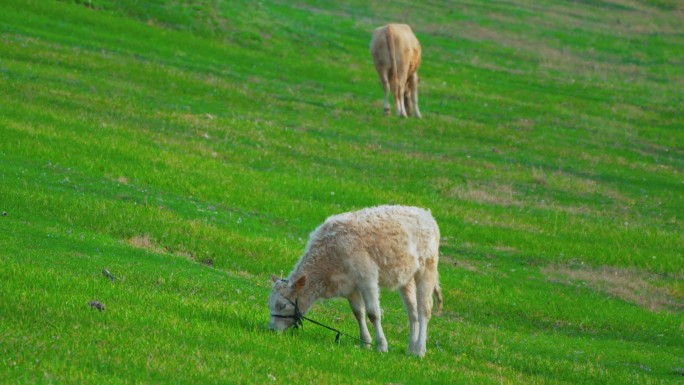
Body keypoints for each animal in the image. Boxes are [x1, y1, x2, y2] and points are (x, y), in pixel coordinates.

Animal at [264, 206, 440, 356]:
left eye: (282, 305)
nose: (271, 329)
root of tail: (425, 213)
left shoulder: (367, 277)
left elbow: (373, 313)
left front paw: (381, 346)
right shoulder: (349, 286)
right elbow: (358, 313)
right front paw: (365, 343)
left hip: (427, 268)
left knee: (424, 310)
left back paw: (419, 350)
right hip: (406, 278)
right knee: (412, 312)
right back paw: (411, 348)